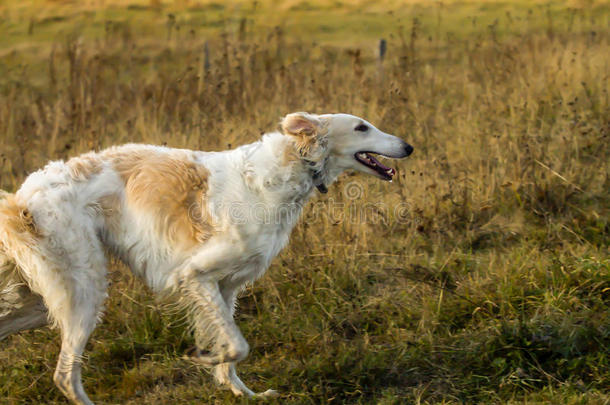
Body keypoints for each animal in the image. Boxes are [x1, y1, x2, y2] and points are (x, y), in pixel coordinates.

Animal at [0, 112, 414, 402]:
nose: (408, 147)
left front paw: (243, 393)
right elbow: (237, 346)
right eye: (361, 127)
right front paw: (204, 358)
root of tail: (22, 196)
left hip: (43, 300)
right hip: (83, 291)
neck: (287, 164)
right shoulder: (195, 275)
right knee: (64, 375)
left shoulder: (226, 287)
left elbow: (231, 348)